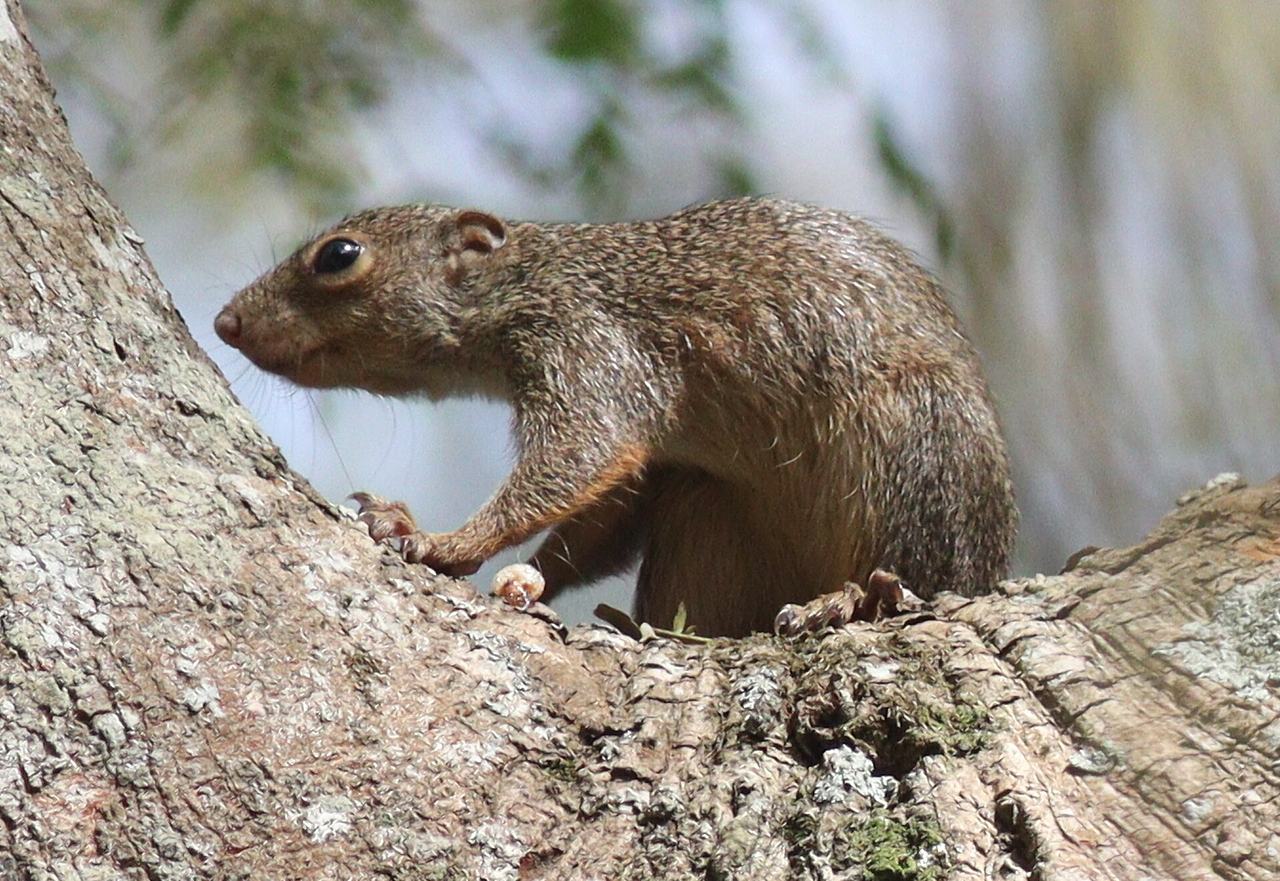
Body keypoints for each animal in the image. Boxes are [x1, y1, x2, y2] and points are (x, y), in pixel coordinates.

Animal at [214, 197, 1017, 636]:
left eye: (339, 255)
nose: (226, 322)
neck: (528, 279)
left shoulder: (589, 347)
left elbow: (581, 455)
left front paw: (442, 541)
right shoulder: (651, 444)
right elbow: (607, 508)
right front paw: (522, 577)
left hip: (916, 449)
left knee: (916, 574)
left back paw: (849, 599)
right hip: (707, 507)